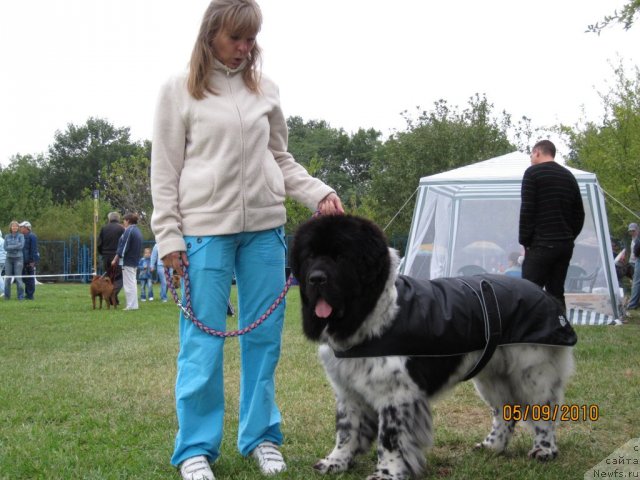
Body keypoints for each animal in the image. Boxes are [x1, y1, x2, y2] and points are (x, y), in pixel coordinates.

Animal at [292, 217, 576, 480]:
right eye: (310, 256)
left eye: (340, 257)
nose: (315, 279)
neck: (374, 313)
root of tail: (541, 292)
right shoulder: (348, 389)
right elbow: (346, 428)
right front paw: (335, 462)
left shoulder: (397, 395)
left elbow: (390, 439)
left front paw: (387, 473)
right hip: (491, 377)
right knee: (504, 412)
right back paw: (492, 446)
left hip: (533, 373)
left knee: (543, 410)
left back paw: (544, 450)